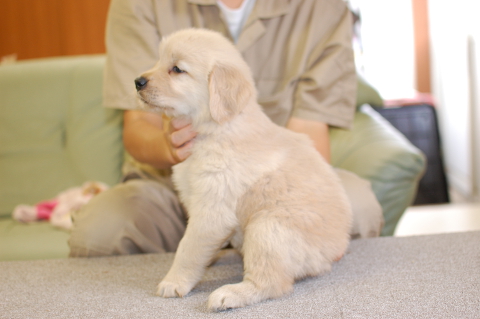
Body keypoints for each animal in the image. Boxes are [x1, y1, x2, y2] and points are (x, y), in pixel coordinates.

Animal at [135, 28, 352, 312]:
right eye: (158, 60)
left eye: (177, 69)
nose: (138, 81)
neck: (217, 127)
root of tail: (336, 249)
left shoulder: (213, 209)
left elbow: (187, 248)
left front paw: (173, 281)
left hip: (267, 227)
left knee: (272, 283)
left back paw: (229, 294)